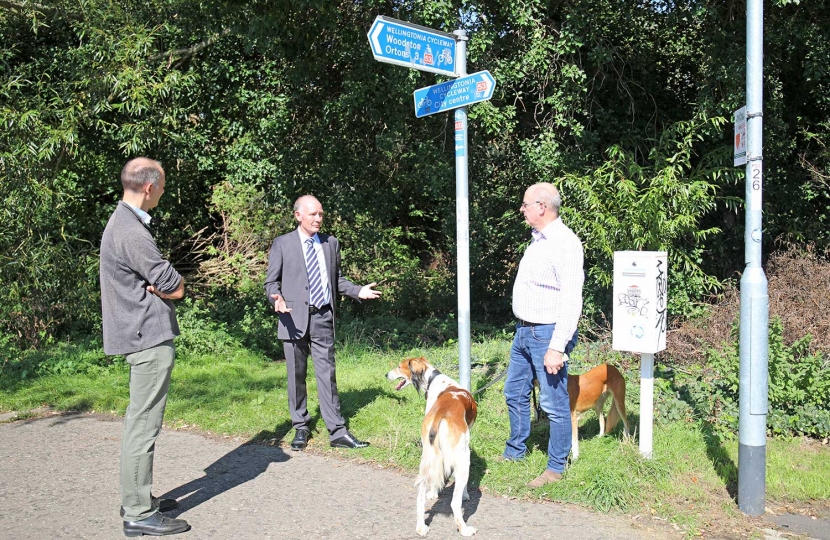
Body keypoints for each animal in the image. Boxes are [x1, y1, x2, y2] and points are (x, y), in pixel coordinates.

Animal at [390, 356, 480, 536]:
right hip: (463, 458)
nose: (386, 374)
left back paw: (421, 528)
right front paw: (466, 494)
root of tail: (441, 415)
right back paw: (464, 529)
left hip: (427, 456)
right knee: (454, 503)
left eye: (399, 367)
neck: (434, 379)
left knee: (420, 496)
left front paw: (433, 493)